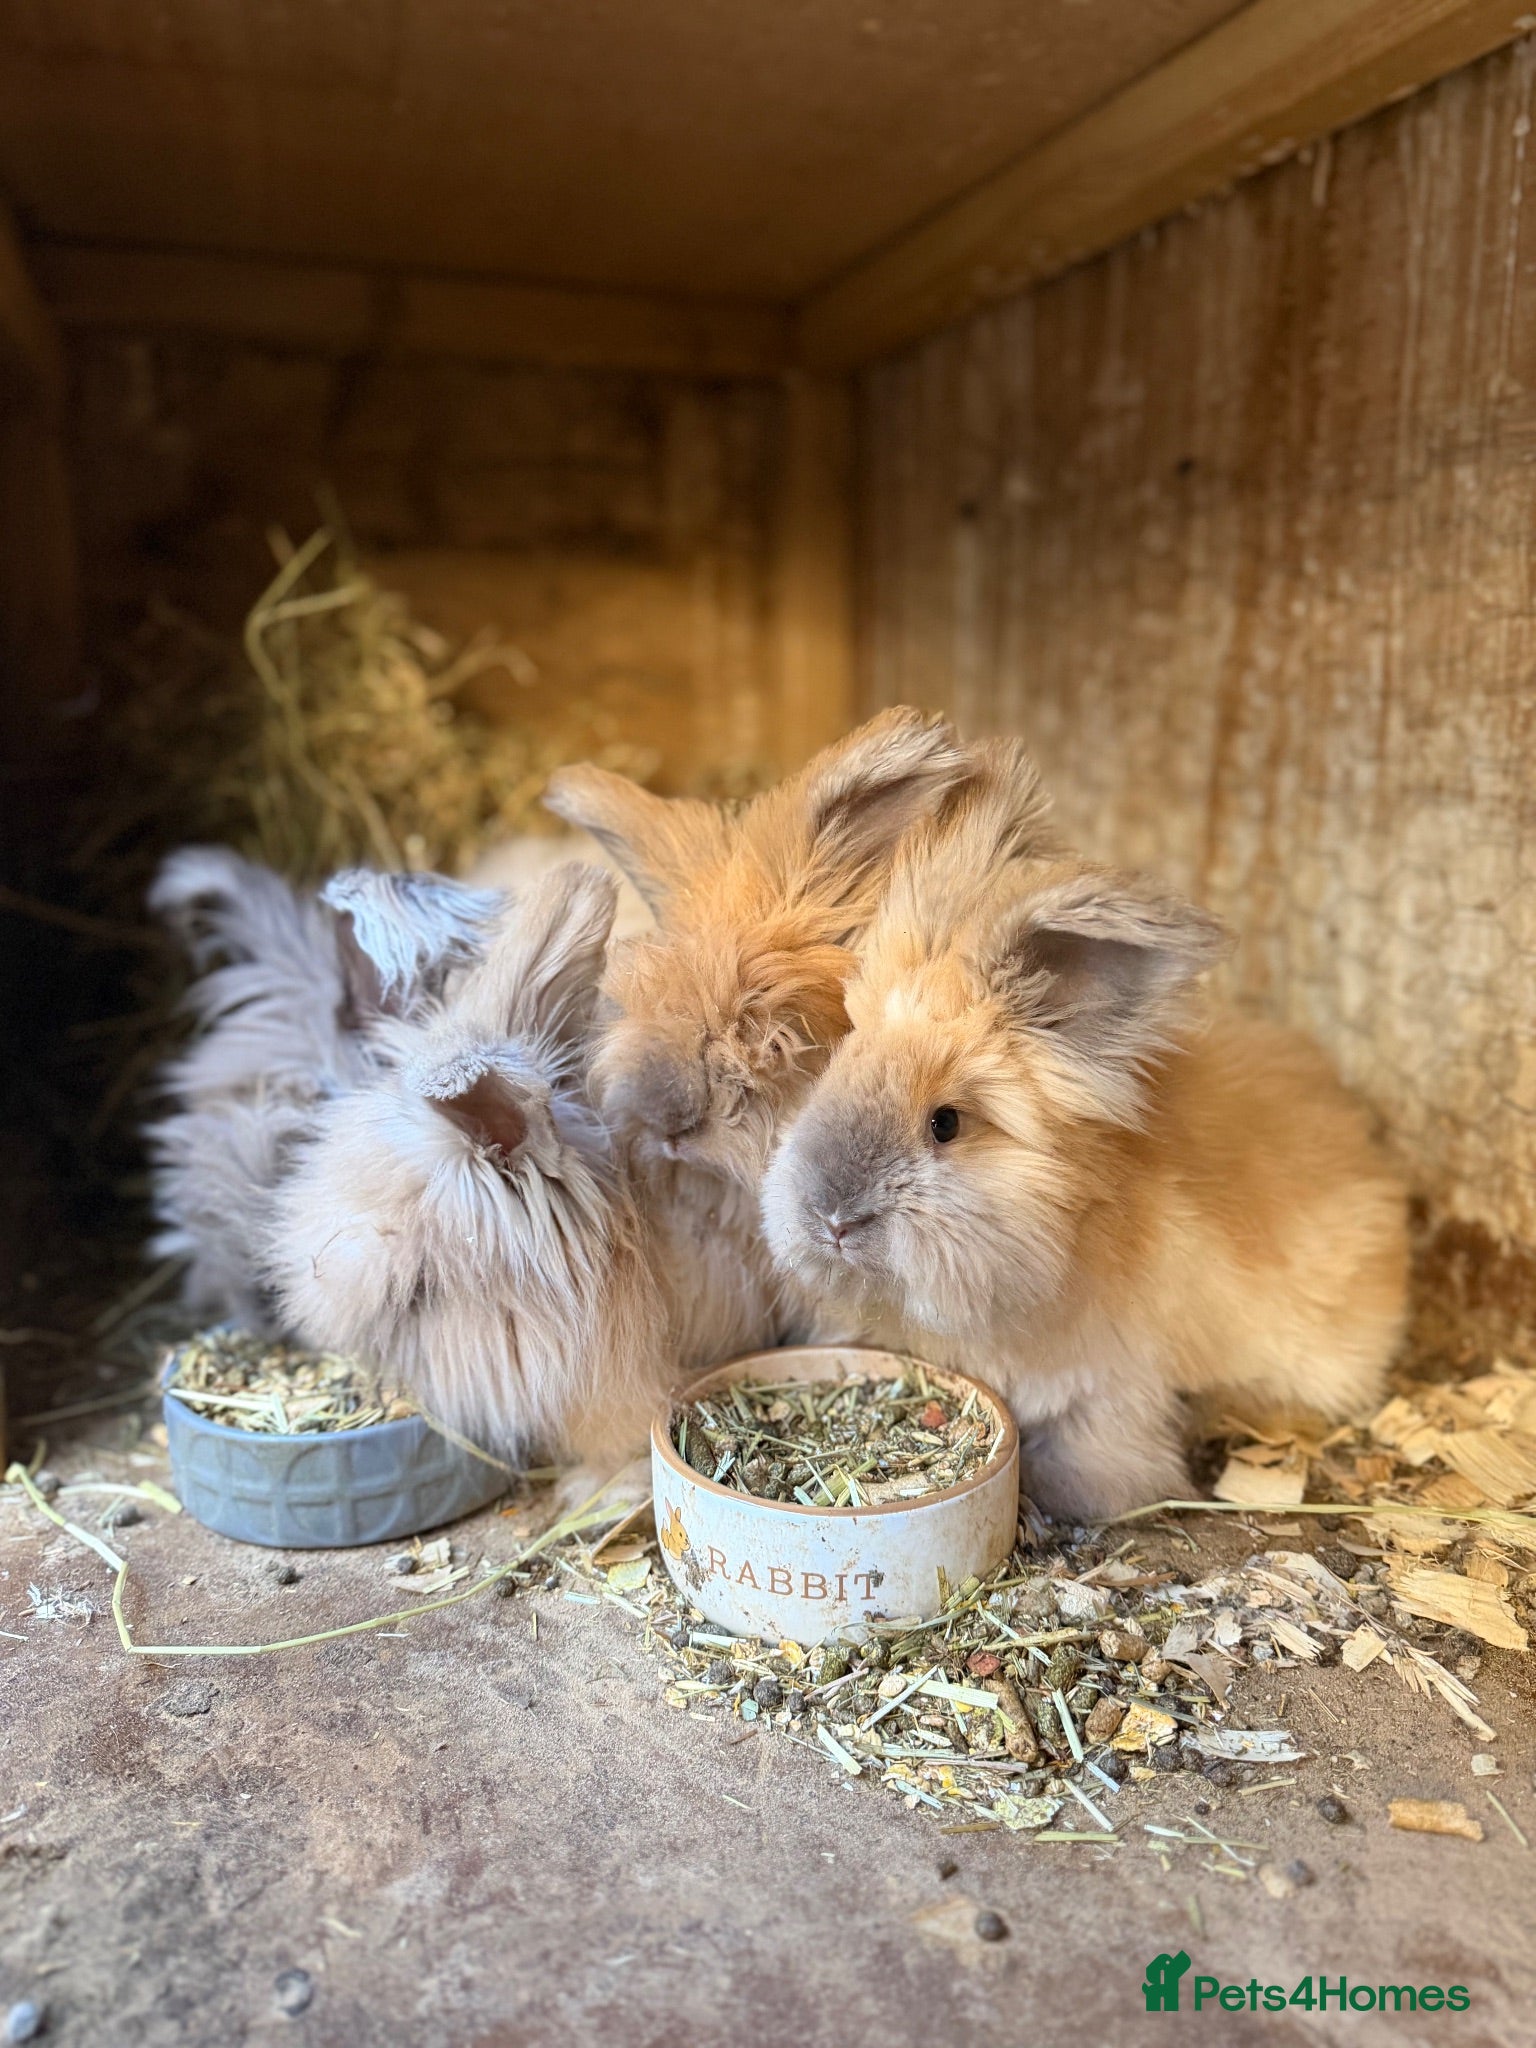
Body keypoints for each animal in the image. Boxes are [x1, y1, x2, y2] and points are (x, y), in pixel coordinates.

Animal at [760, 744, 1409, 1521]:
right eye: (835, 1066)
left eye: (945, 1124)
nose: (832, 1220)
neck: (1067, 1233)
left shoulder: (1113, 1390)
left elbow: (1099, 1456)